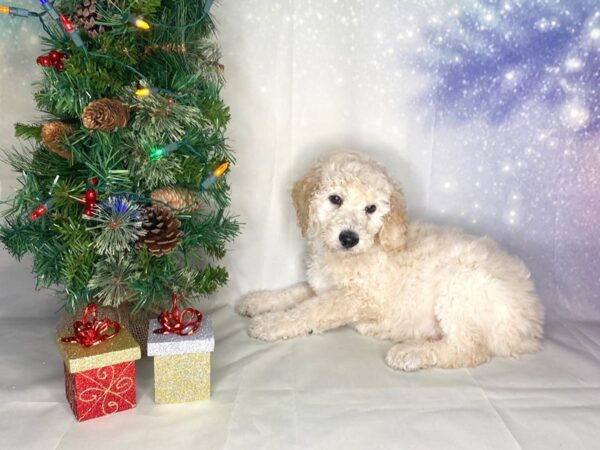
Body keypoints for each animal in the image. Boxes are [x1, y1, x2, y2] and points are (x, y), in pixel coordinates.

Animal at [236, 153, 544, 370]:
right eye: (335, 199)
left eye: (371, 209)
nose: (349, 238)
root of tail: (532, 324)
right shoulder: (321, 285)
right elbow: (296, 291)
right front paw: (259, 301)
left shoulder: (358, 296)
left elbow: (311, 309)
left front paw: (270, 323)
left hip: (460, 286)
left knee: (469, 349)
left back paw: (412, 351)